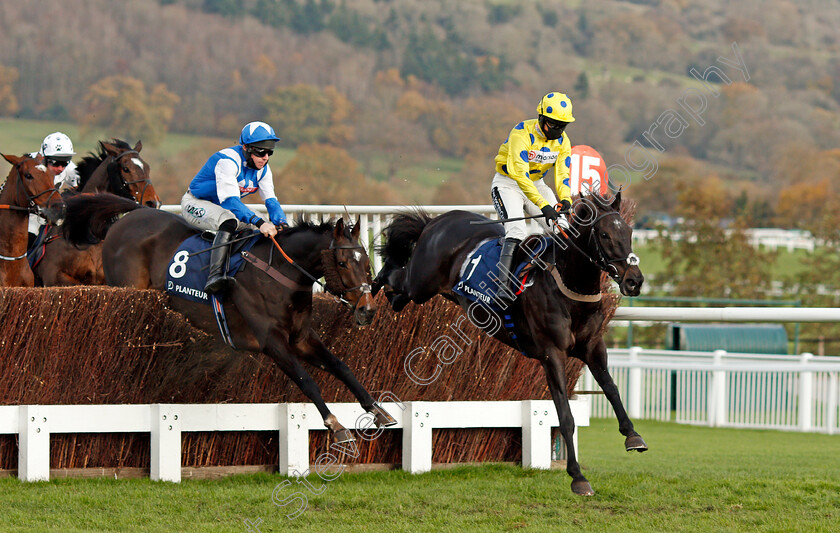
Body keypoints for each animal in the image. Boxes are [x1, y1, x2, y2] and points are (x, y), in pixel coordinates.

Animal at [62, 191, 398, 440]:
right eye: (342, 262)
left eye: (365, 260)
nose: (368, 309)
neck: (280, 273)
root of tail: (132, 213)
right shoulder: (272, 342)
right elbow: (306, 380)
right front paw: (336, 424)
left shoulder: (302, 338)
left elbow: (342, 367)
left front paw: (378, 410)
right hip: (128, 287)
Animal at [378, 191, 648, 494]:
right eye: (604, 234)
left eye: (629, 232)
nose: (635, 281)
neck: (568, 287)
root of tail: (436, 222)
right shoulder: (551, 354)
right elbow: (565, 416)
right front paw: (577, 477)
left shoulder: (593, 346)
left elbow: (612, 390)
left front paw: (633, 436)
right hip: (420, 284)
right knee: (394, 277)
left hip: (428, 290)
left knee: (397, 294)